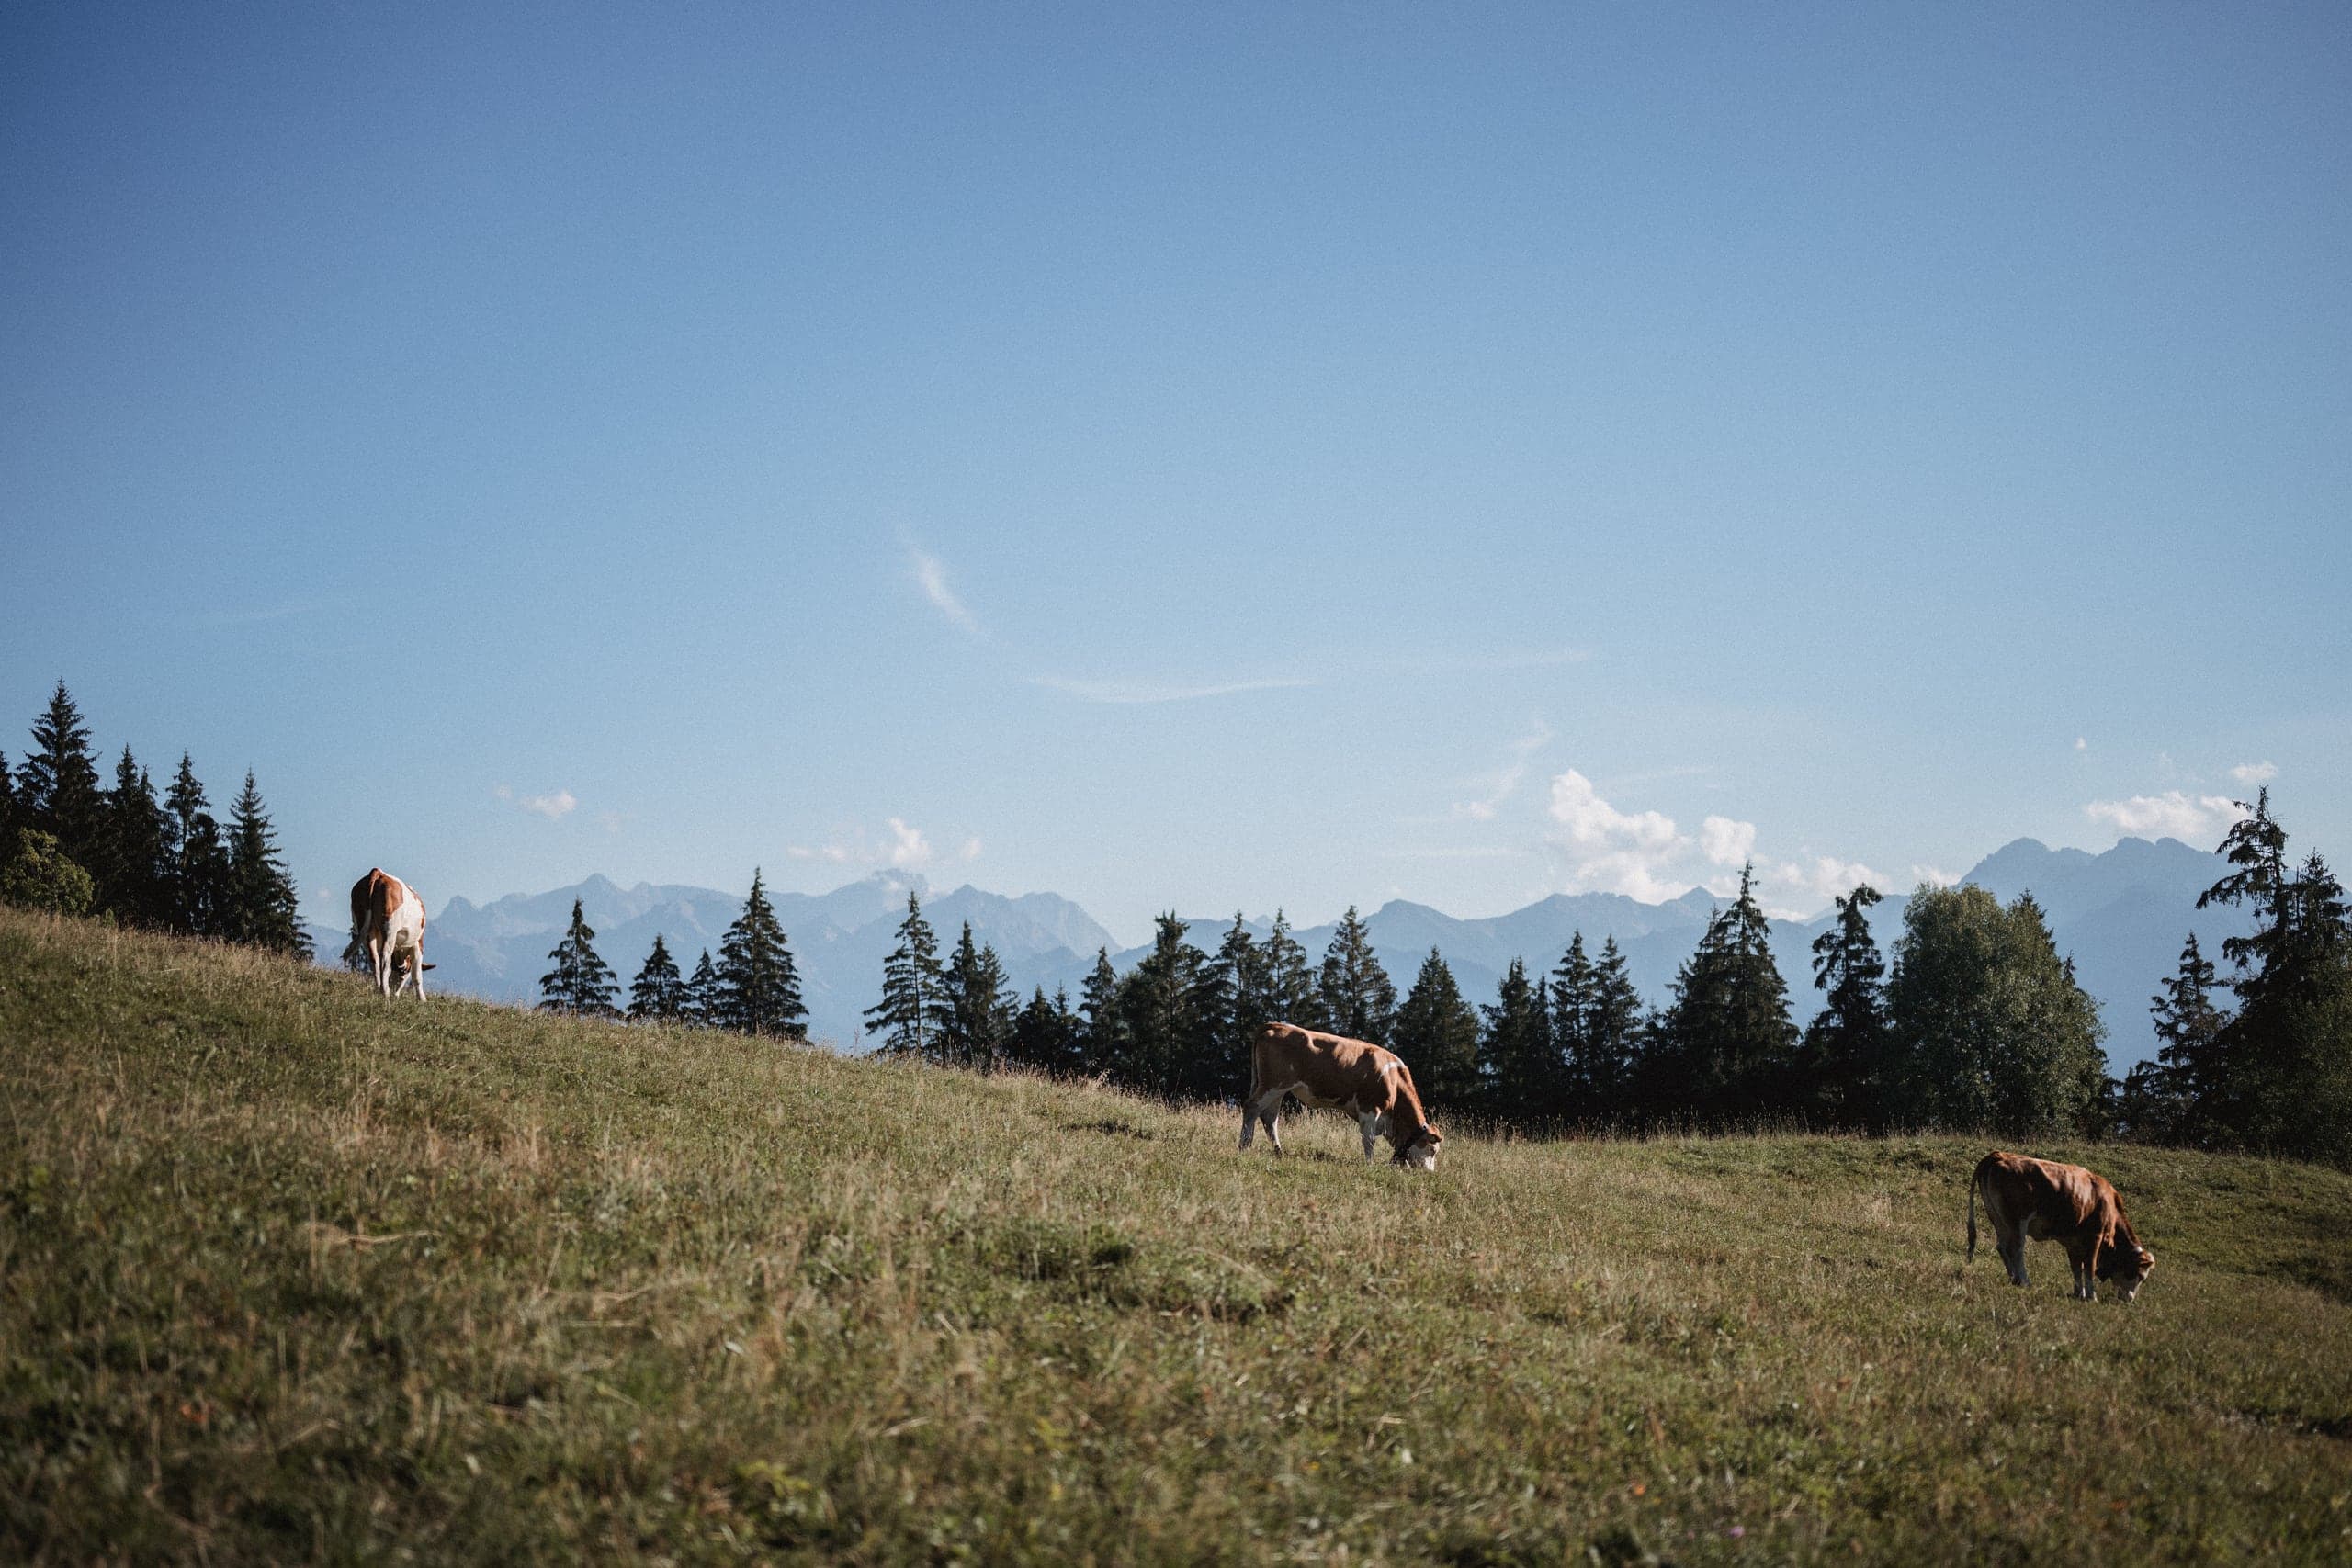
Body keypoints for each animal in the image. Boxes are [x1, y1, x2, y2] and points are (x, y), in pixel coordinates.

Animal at [350, 867, 431, 1000]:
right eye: (406, 973)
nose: (396, 993)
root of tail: (379, 873)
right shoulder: (418, 944)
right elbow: (417, 975)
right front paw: (422, 999)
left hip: (365, 928)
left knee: (374, 958)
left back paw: (378, 988)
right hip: (389, 929)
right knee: (385, 958)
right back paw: (385, 991)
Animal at [1239, 1021, 1443, 1170]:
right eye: (1433, 1149)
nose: (1429, 1172)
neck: (1394, 1080)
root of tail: (1276, 1025)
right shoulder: (1370, 1108)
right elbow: (1368, 1139)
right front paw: (1370, 1164)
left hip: (1278, 1089)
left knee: (1270, 1118)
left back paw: (1278, 1151)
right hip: (1273, 1084)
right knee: (1252, 1107)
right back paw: (1244, 1145)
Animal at [1967, 1150, 2154, 1302]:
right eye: (2139, 1275)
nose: (2129, 1300)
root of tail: (2000, 1155)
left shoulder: (2073, 1242)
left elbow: (2077, 1268)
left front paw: (2079, 1293)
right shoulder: (2095, 1236)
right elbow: (2089, 1266)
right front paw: (2091, 1296)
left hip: (1998, 1219)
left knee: (2002, 1247)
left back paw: (2014, 1279)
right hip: (2018, 1221)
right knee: (2016, 1250)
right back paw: (2024, 1281)